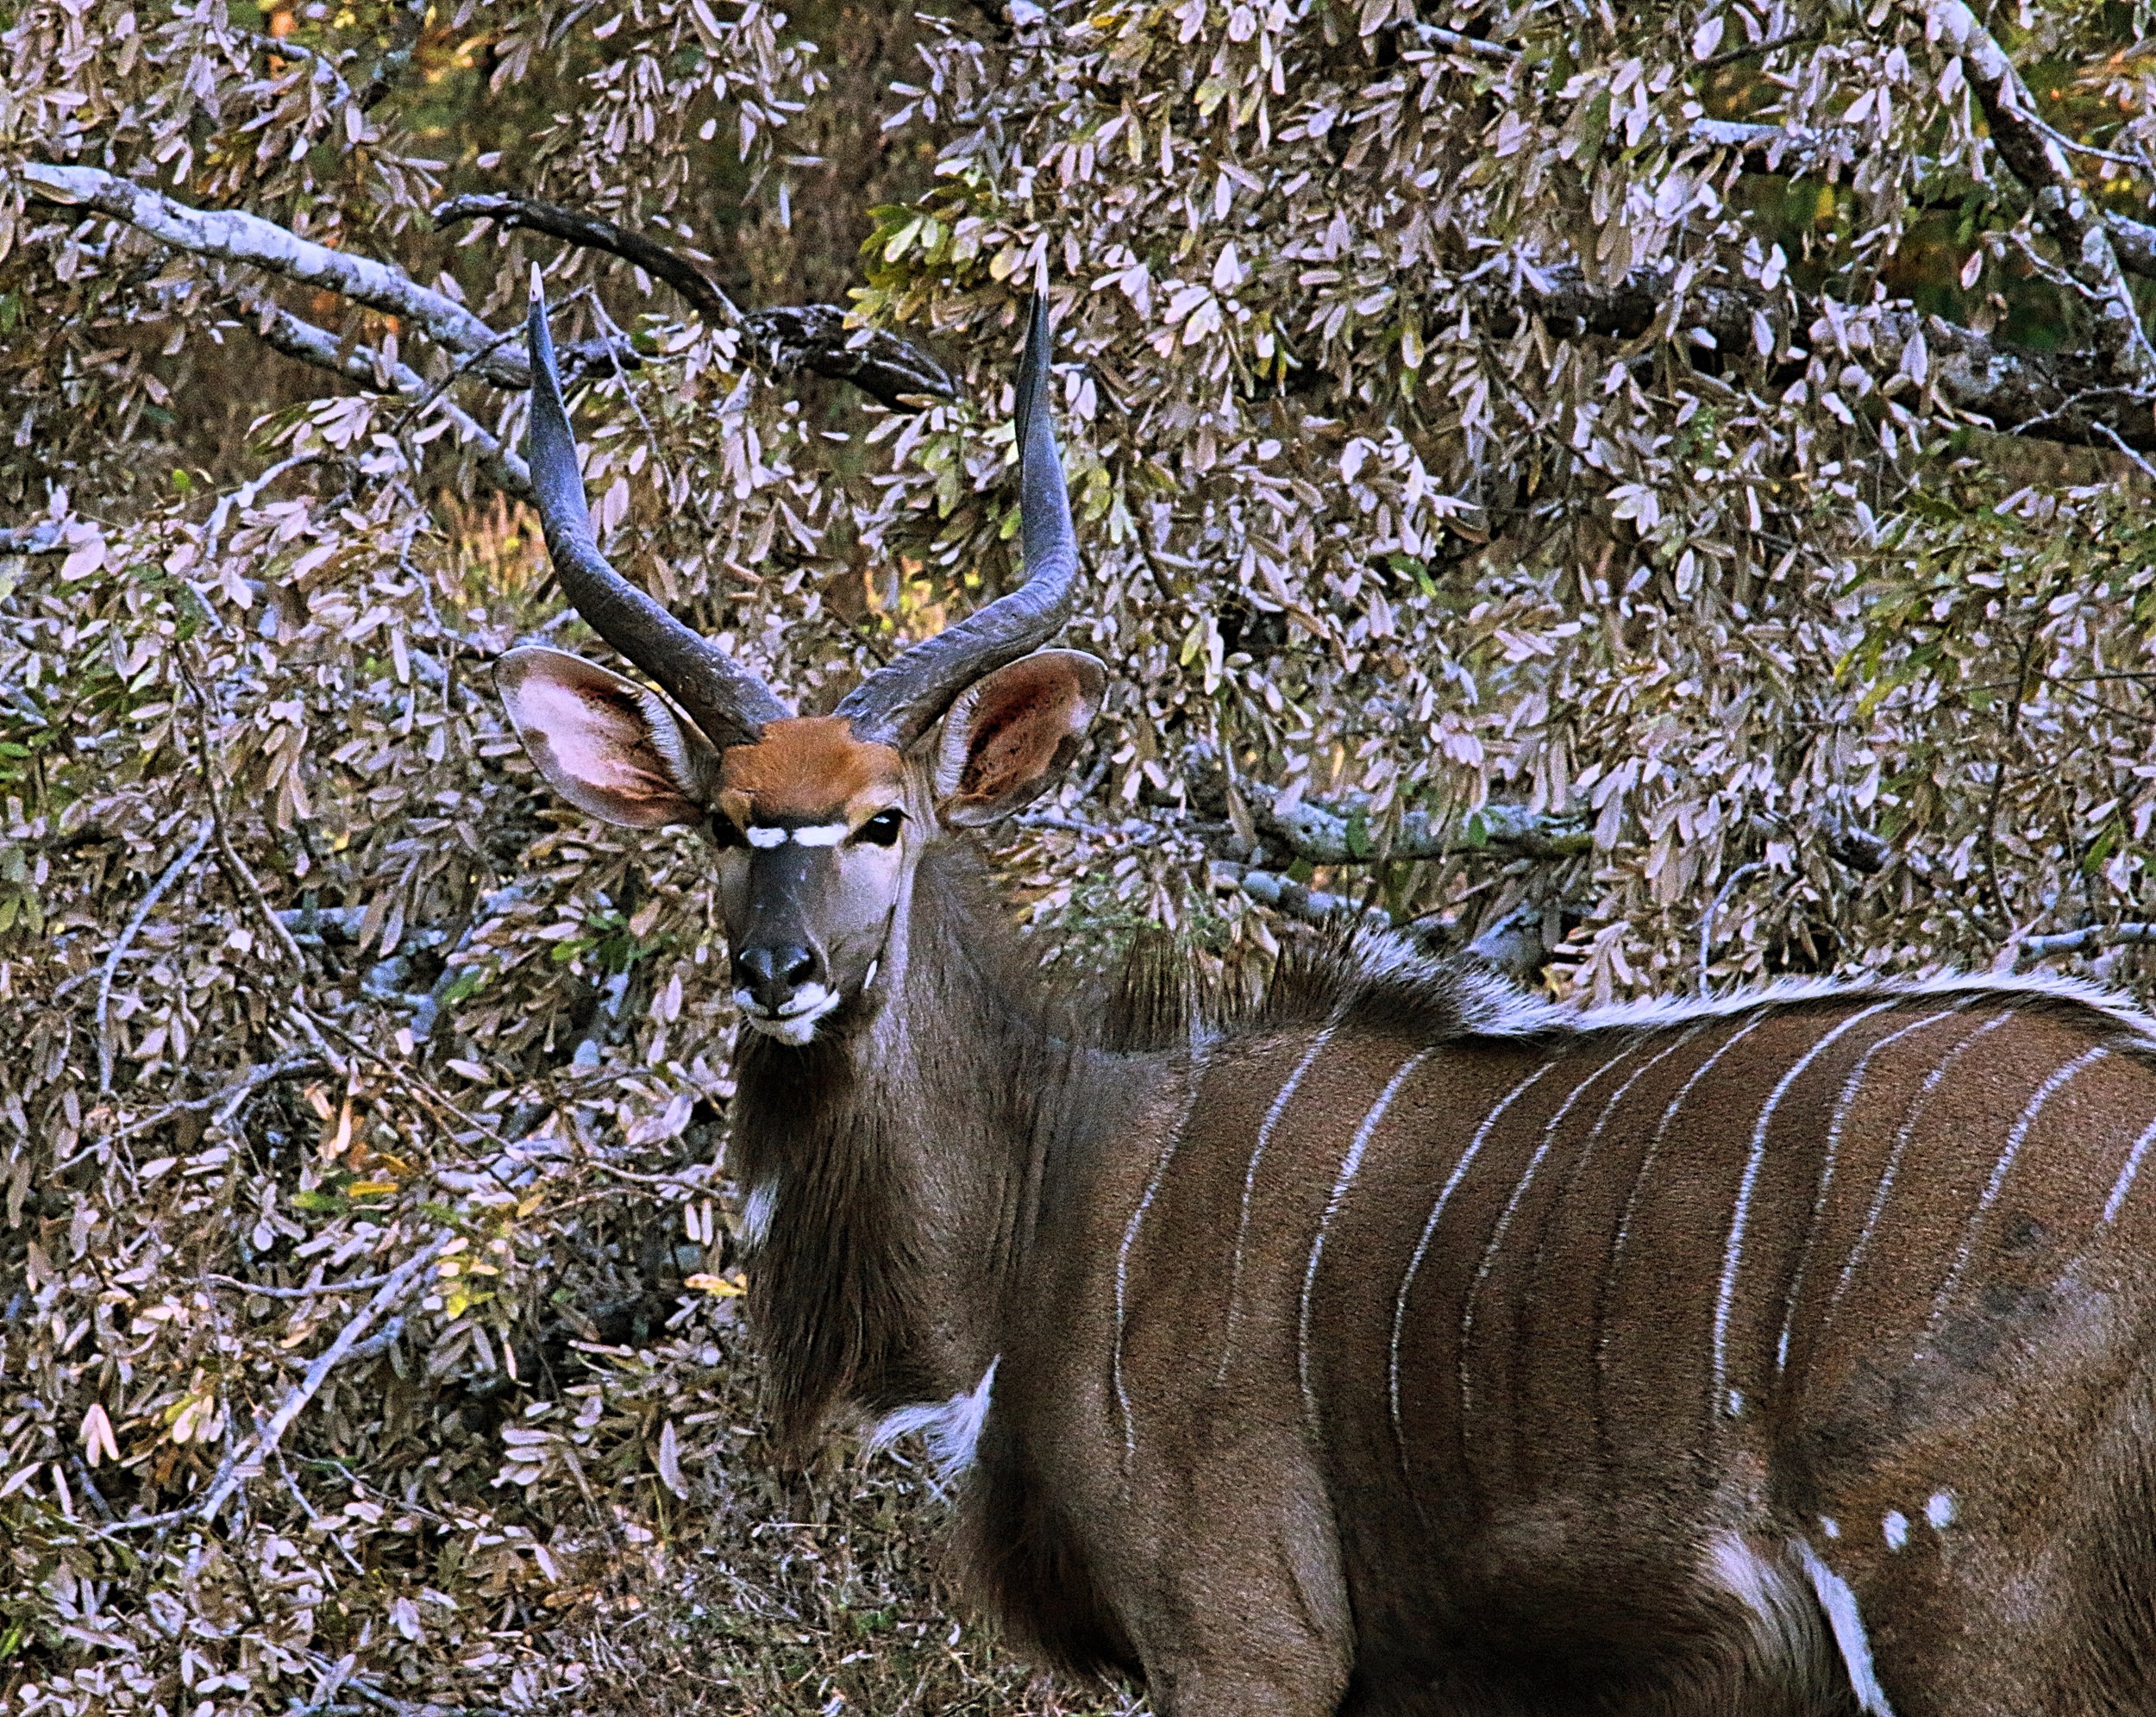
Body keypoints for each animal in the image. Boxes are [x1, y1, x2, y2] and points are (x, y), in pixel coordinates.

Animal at [496, 274, 2156, 1708]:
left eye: (885, 819)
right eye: (727, 822)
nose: (777, 969)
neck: (1049, 1204)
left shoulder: (1248, 1639)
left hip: (1963, 1597)